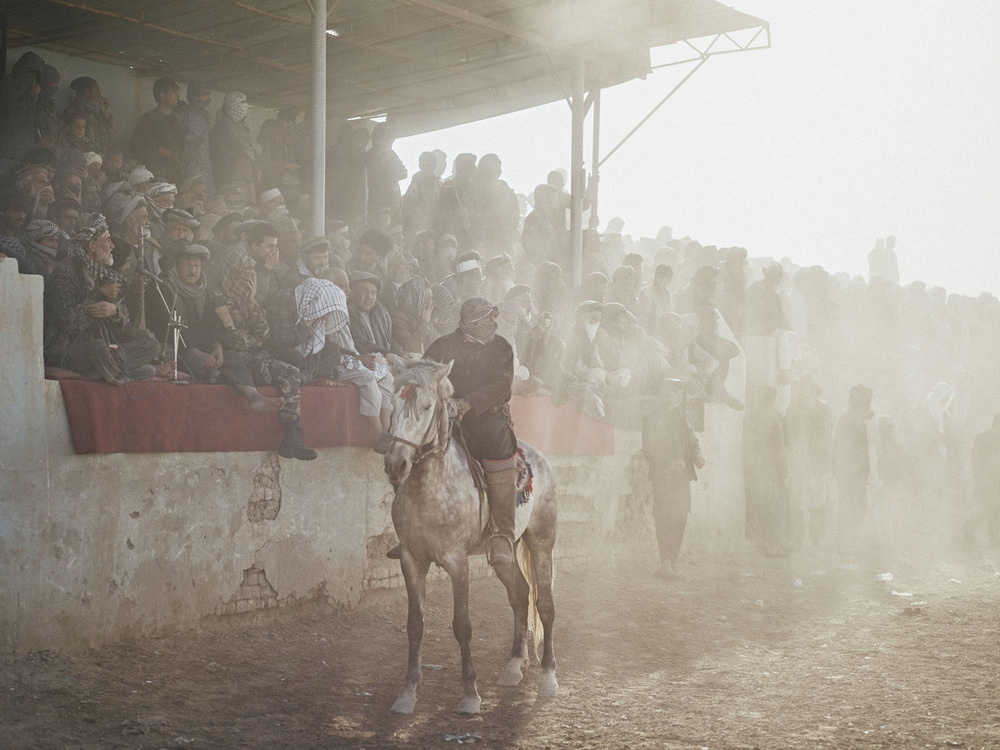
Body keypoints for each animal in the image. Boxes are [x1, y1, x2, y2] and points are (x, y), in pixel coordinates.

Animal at [382, 362, 560, 716]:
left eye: (426, 407)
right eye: (392, 404)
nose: (396, 463)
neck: (431, 488)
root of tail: (540, 459)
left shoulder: (457, 562)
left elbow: (462, 626)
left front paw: (469, 695)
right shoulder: (411, 560)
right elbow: (415, 625)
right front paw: (407, 694)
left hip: (542, 543)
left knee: (544, 604)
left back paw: (548, 678)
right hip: (505, 553)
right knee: (520, 595)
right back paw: (513, 666)